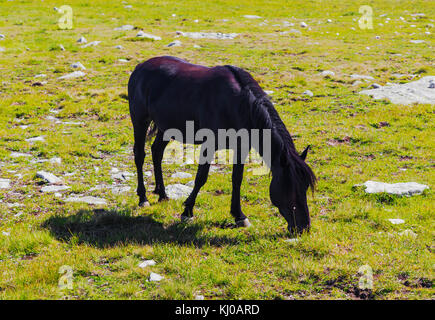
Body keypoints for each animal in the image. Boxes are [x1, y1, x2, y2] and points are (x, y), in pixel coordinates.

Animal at [127, 56, 316, 234]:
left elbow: (237, 179)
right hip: (140, 120)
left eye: (305, 186)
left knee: (157, 152)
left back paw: (163, 194)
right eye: (291, 187)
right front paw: (187, 211)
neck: (239, 104)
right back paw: (143, 198)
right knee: (140, 155)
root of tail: (140, 67)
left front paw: (239, 216)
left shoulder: (241, 147)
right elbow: (201, 177)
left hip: (165, 127)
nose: (303, 227)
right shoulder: (209, 144)